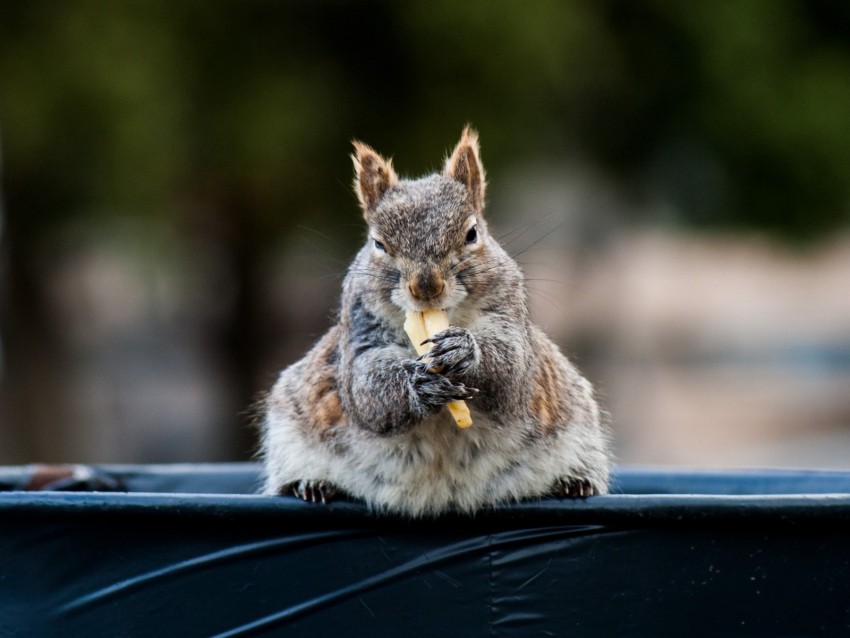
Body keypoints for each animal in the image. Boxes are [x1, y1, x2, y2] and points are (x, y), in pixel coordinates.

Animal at [258, 127, 608, 516]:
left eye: (472, 234)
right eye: (378, 243)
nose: (425, 287)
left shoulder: (510, 319)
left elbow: (512, 371)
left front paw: (465, 351)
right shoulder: (360, 337)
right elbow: (365, 386)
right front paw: (417, 384)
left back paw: (573, 481)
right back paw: (310, 483)